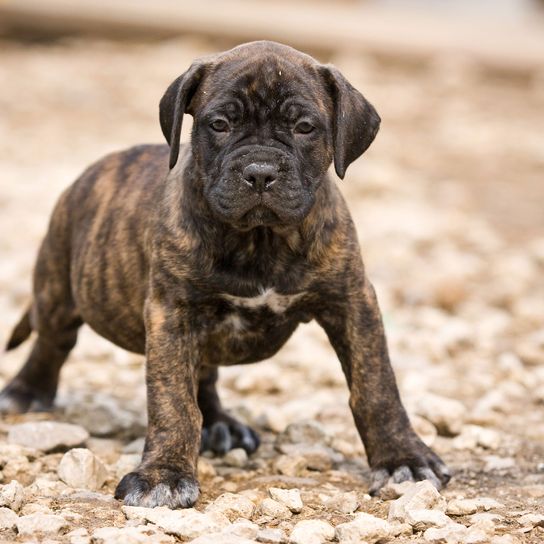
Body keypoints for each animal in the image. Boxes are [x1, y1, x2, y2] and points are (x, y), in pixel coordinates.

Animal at [1, 40, 450, 508]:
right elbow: (172, 400)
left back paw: (221, 423)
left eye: (305, 127)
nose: (260, 172)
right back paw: (26, 392)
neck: (260, 239)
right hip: (57, 286)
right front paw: (164, 474)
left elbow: (376, 385)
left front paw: (403, 459)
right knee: (53, 341)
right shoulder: (172, 313)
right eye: (219, 124)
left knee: (203, 374)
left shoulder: (351, 302)